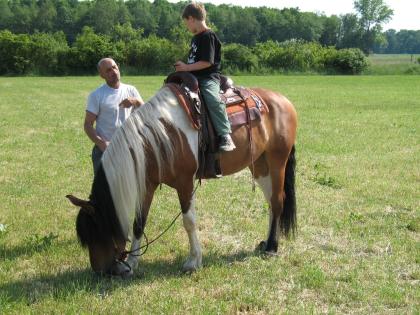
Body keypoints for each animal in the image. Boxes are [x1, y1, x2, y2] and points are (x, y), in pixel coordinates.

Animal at [67, 82, 296, 276]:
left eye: (96, 233)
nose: (101, 271)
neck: (160, 137)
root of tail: (282, 99)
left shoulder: (185, 183)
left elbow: (189, 221)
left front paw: (193, 261)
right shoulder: (147, 185)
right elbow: (139, 223)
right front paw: (132, 262)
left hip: (277, 161)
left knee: (277, 202)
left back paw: (272, 247)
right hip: (260, 166)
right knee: (270, 202)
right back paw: (266, 242)